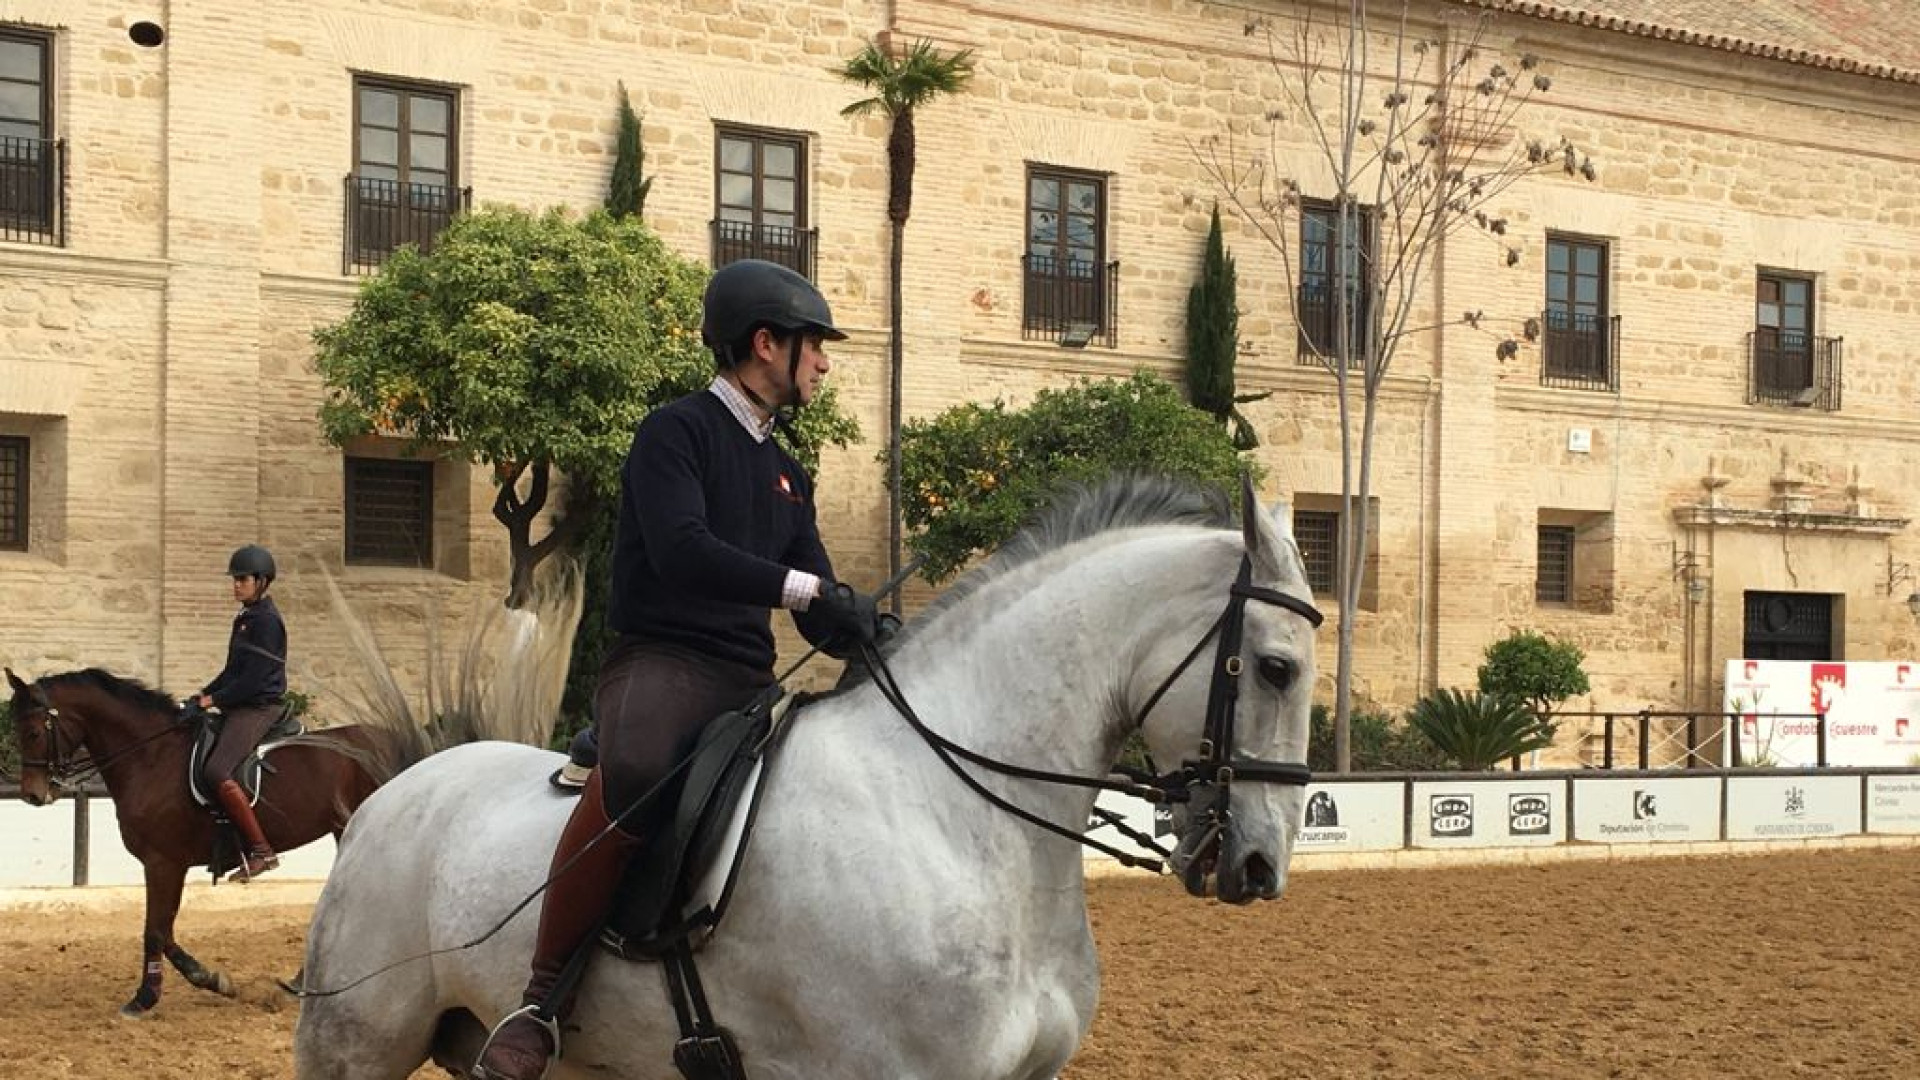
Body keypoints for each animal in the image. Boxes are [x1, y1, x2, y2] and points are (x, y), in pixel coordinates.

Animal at [3, 666, 403, 1016]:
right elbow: (164, 931)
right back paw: (302, 983)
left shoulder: (163, 862)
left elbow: (154, 931)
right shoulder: (165, 864)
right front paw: (212, 980)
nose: (33, 795)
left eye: (34, 733)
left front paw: (145, 998)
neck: (151, 758)